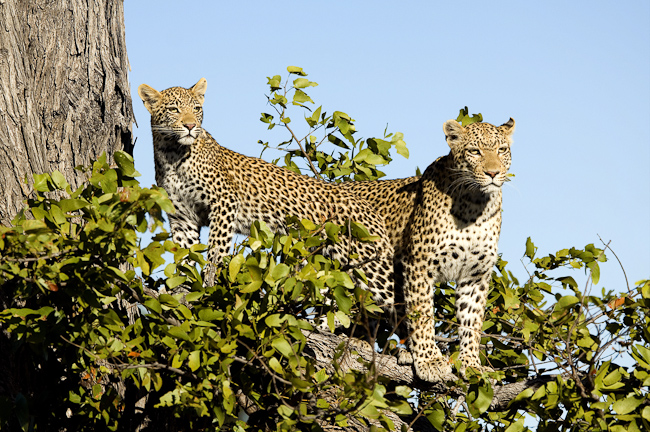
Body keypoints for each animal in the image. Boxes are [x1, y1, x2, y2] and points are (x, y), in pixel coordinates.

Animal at [138, 78, 394, 318]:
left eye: (197, 108)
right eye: (174, 109)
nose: (191, 125)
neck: (172, 155)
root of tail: (368, 208)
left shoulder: (225, 202)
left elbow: (216, 250)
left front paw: (210, 284)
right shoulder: (182, 217)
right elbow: (185, 254)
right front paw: (184, 287)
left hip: (372, 264)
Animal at [342, 117, 512, 382]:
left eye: (502, 150)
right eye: (475, 151)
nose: (493, 173)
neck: (475, 206)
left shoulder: (475, 275)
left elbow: (472, 322)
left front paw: (472, 364)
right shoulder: (418, 265)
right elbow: (422, 315)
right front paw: (429, 361)